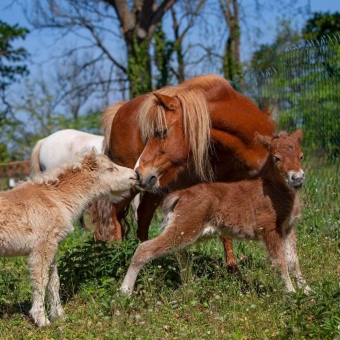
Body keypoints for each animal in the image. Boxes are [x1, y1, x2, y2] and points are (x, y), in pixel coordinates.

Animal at [0, 151, 135, 326]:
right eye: (111, 168)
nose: (135, 175)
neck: (55, 198)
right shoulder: (42, 246)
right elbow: (41, 280)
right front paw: (41, 319)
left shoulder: (53, 246)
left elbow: (54, 281)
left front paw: (59, 315)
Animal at [97, 73, 274, 270]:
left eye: (161, 131)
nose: (139, 172)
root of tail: (119, 111)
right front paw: (233, 268)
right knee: (114, 211)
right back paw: (117, 252)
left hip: (155, 187)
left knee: (142, 216)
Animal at [121, 129, 312, 296]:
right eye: (276, 158)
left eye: (301, 156)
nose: (297, 178)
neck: (273, 189)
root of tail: (180, 195)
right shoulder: (269, 229)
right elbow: (280, 261)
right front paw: (291, 293)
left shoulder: (288, 228)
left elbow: (294, 261)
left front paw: (308, 290)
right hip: (186, 228)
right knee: (145, 248)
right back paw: (125, 291)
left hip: (188, 230)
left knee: (177, 252)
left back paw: (190, 284)